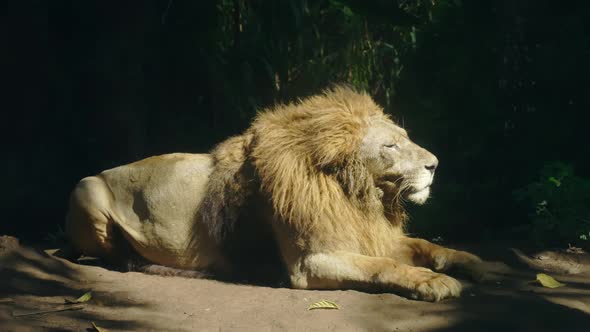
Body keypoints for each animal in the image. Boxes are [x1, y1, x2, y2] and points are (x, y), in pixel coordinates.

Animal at [66, 85, 480, 300]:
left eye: (406, 138)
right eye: (390, 147)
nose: (435, 165)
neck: (359, 196)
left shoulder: (370, 233)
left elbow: (422, 245)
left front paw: (467, 261)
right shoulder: (309, 263)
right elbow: (382, 266)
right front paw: (432, 281)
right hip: (87, 189)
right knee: (109, 257)